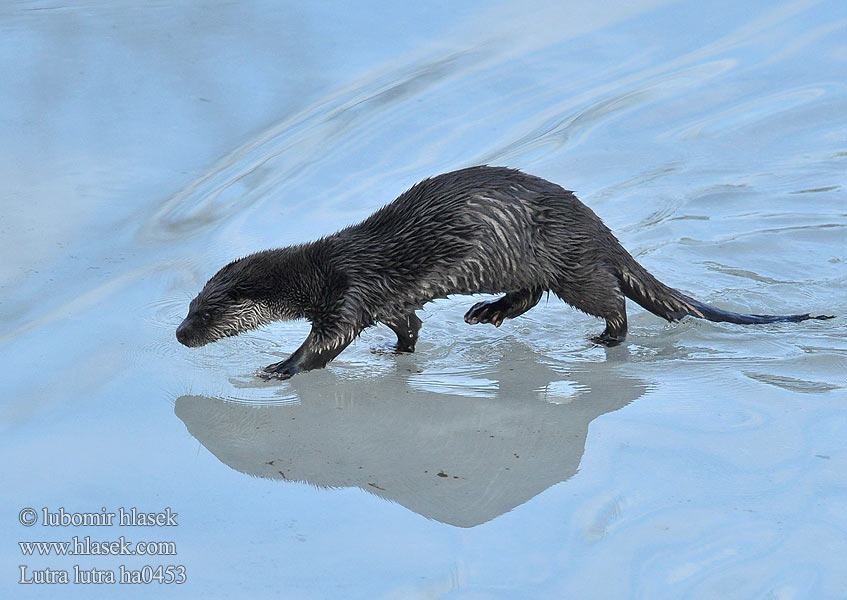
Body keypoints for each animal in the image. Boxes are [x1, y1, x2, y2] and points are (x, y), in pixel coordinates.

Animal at [176, 165, 832, 380]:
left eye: (206, 311)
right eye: (187, 305)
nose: (180, 335)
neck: (322, 269)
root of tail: (595, 224)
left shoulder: (348, 293)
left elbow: (328, 340)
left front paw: (280, 368)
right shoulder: (386, 300)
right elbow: (408, 326)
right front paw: (396, 354)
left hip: (570, 263)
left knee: (609, 299)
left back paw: (606, 338)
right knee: (531, 294)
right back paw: (486, 311)